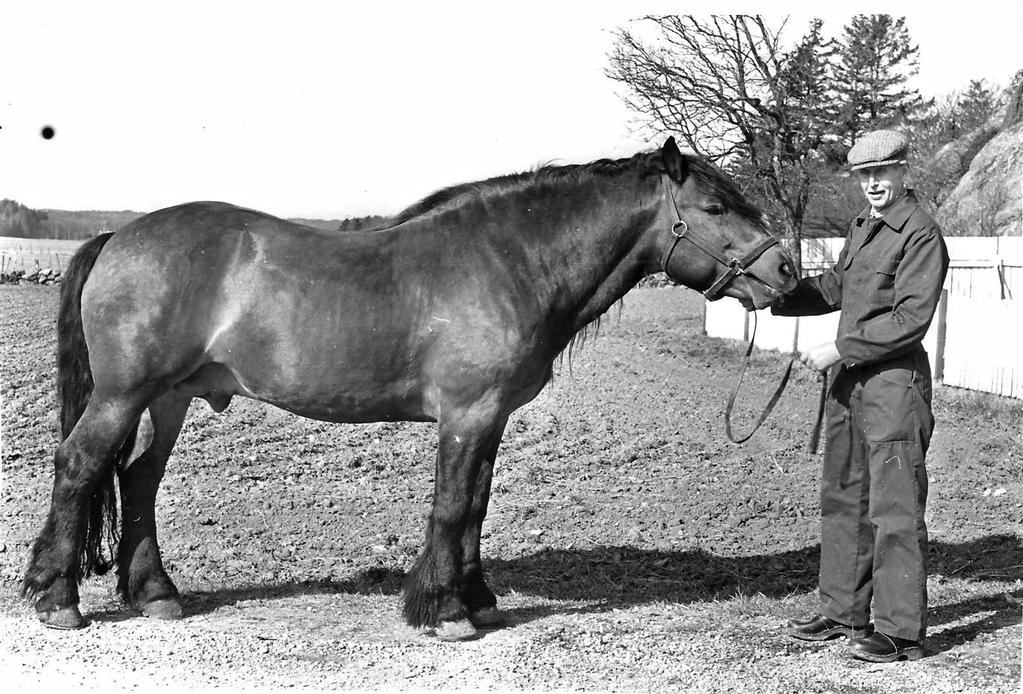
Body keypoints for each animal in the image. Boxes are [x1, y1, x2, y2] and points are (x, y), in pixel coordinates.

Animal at [19, 138, 793, 642]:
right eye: (715, 206)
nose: (786, 273)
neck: (509, 259)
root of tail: (119, 236)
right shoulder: (467, 414)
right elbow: (452, 507)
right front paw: (444, 612)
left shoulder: (490, 418)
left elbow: (475, 507)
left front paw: (477, 601)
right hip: (124, 393)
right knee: (80, 466)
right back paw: (58, 600)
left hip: (170, 397)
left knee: (138, 479)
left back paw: (156, 595)